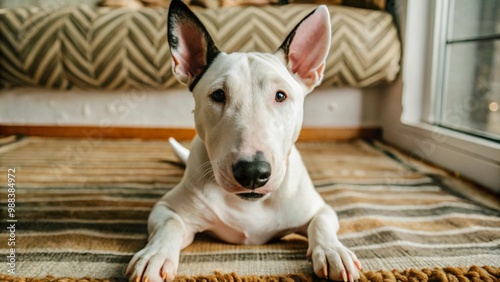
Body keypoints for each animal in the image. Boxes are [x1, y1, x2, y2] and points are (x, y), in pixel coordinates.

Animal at [127, 1, 362, 280]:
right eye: (218, 95)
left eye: (280, 95)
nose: (252, 173)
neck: (250, 205)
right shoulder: (166, 208)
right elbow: (170, 224)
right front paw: (155, 256)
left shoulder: (319, 208)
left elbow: (321, 222)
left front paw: (333, 252)